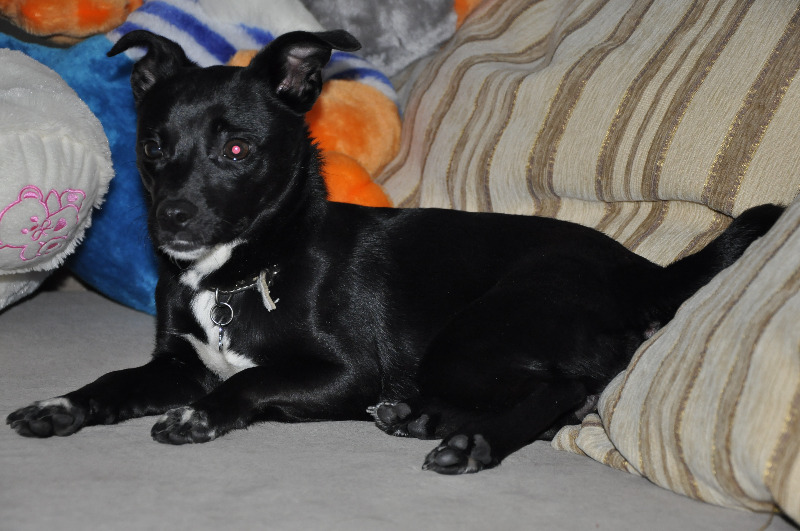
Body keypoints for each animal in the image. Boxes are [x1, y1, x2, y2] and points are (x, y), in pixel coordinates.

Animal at [7, 29, 784, 475]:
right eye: (152, 147)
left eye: (237, 150)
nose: (171, 220)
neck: (243, 269)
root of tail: (644, 270)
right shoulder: (175, 364)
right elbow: (114, 381)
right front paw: (61, 404)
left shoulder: (346, 373)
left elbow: (248, 382)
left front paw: (201, 417)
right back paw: (420, 419)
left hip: (474, 336)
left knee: (562, 391)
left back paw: (470, 444)